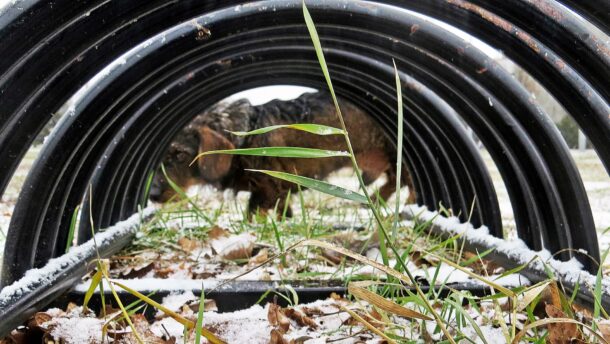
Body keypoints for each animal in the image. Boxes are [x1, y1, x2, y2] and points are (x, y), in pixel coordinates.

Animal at [148, 92, 414, 216]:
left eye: (180, 154)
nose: (152, 195)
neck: (245, 136)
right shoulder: (272, 191)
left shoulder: (268, 189)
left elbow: (254, 213)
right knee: (394, 181)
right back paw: (376, 200)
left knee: (408, 183)